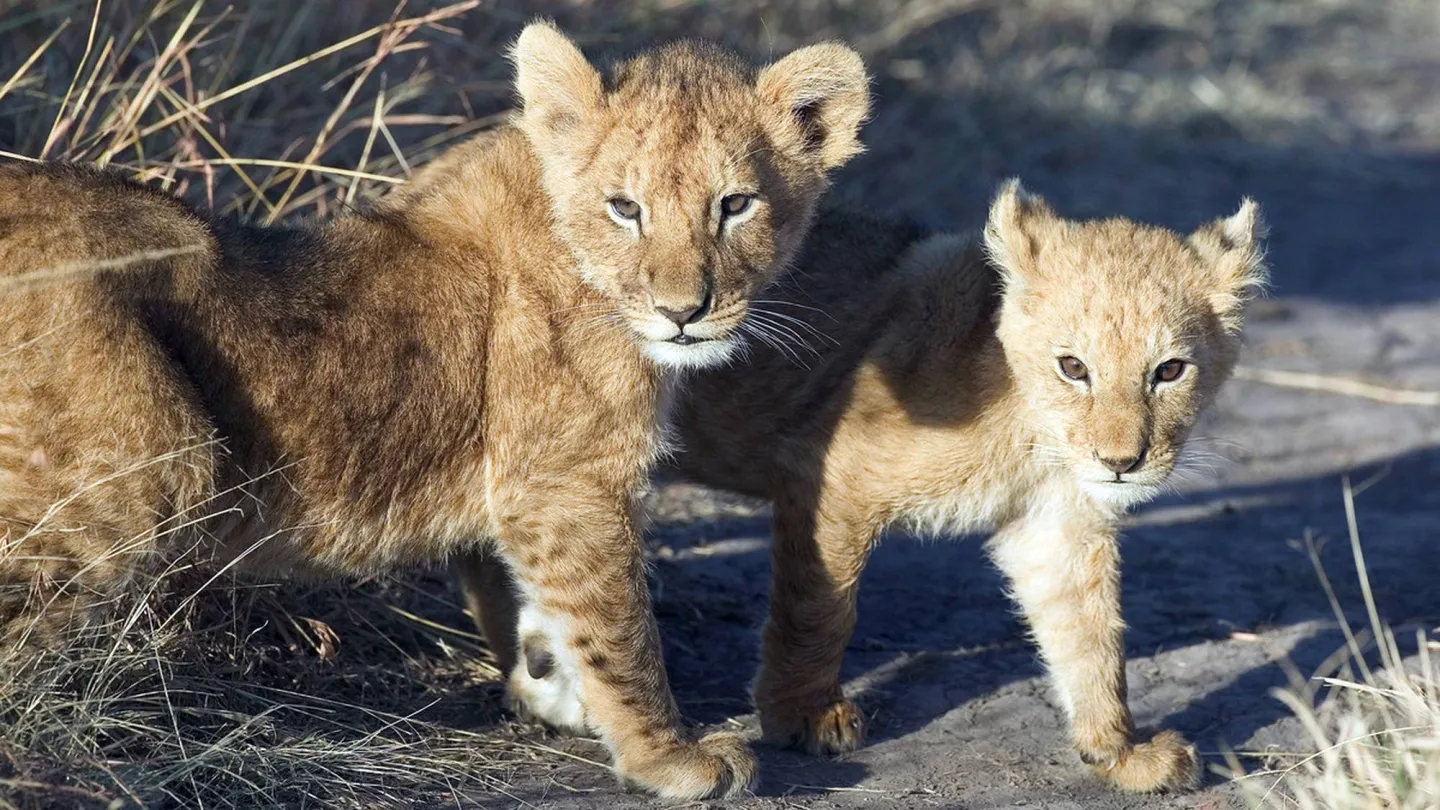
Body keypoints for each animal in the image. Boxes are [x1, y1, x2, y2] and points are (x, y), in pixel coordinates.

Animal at [0, 22, 870, 799]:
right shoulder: (566, 484)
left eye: (736, 205)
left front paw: (549, 685)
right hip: (158, 458)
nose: (683, 313)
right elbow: (619, 625)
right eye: (626, 207)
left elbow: (536, 598)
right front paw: (668, 757)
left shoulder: (529, 488)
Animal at [463, 180, 1266, 794]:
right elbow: (819, 612)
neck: (1026, 424)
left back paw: (542, 673)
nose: (1122, 461)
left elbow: (1091, 636)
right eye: (1074, 367)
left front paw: (1120, 751)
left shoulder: (1056, 523)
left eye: (1170, 370)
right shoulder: (831, 475)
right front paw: (803, 716)